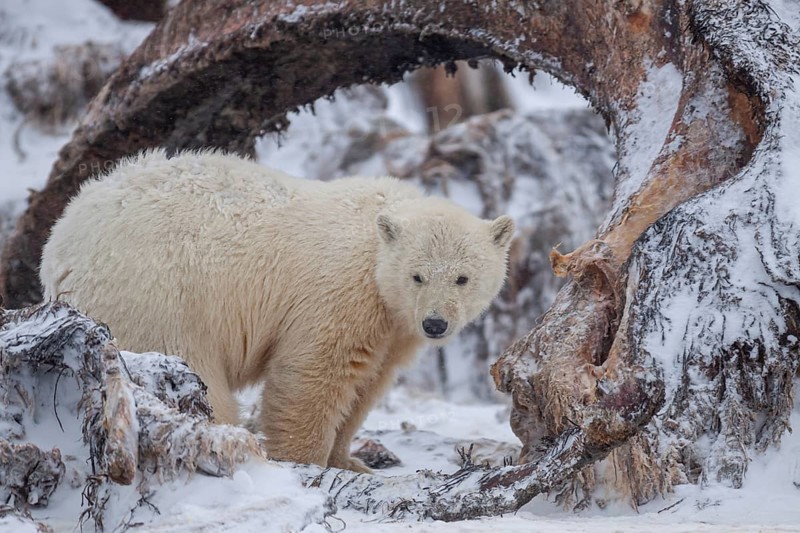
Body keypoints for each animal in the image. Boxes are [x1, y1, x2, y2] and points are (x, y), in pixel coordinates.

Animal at [40, 150, 514, 473]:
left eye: (463, 278)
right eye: (417, 275)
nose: (435, 323)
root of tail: (60, 244)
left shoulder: (393, 327)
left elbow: (366, 384)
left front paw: (349, 460)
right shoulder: (339, 291)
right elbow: (313, 376)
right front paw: (306, 462)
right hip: (161, 296)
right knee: (197, 373)